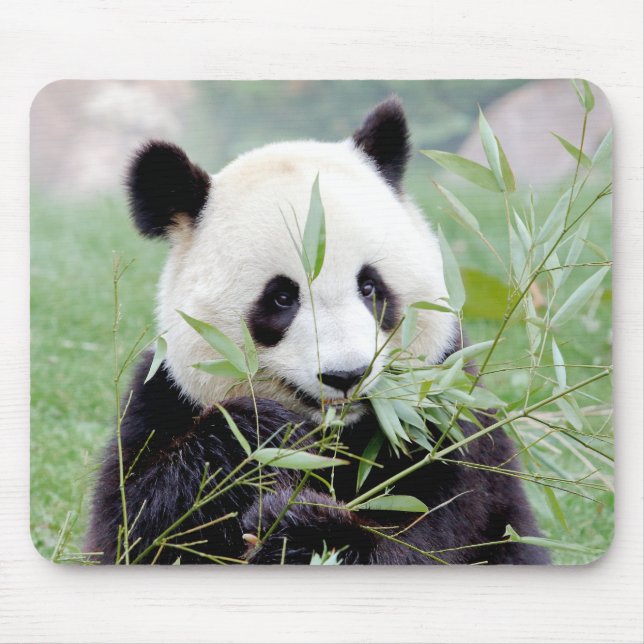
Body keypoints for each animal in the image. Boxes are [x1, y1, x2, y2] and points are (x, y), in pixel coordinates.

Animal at [86, 97, 549, 565]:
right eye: (281, 298)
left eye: (370, 287)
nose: (347, 375)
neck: (341, 437)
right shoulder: (164, 399)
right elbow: (135, 525)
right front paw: (267, 434)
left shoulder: (450, 418)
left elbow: (431, 538)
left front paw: (301, 528)